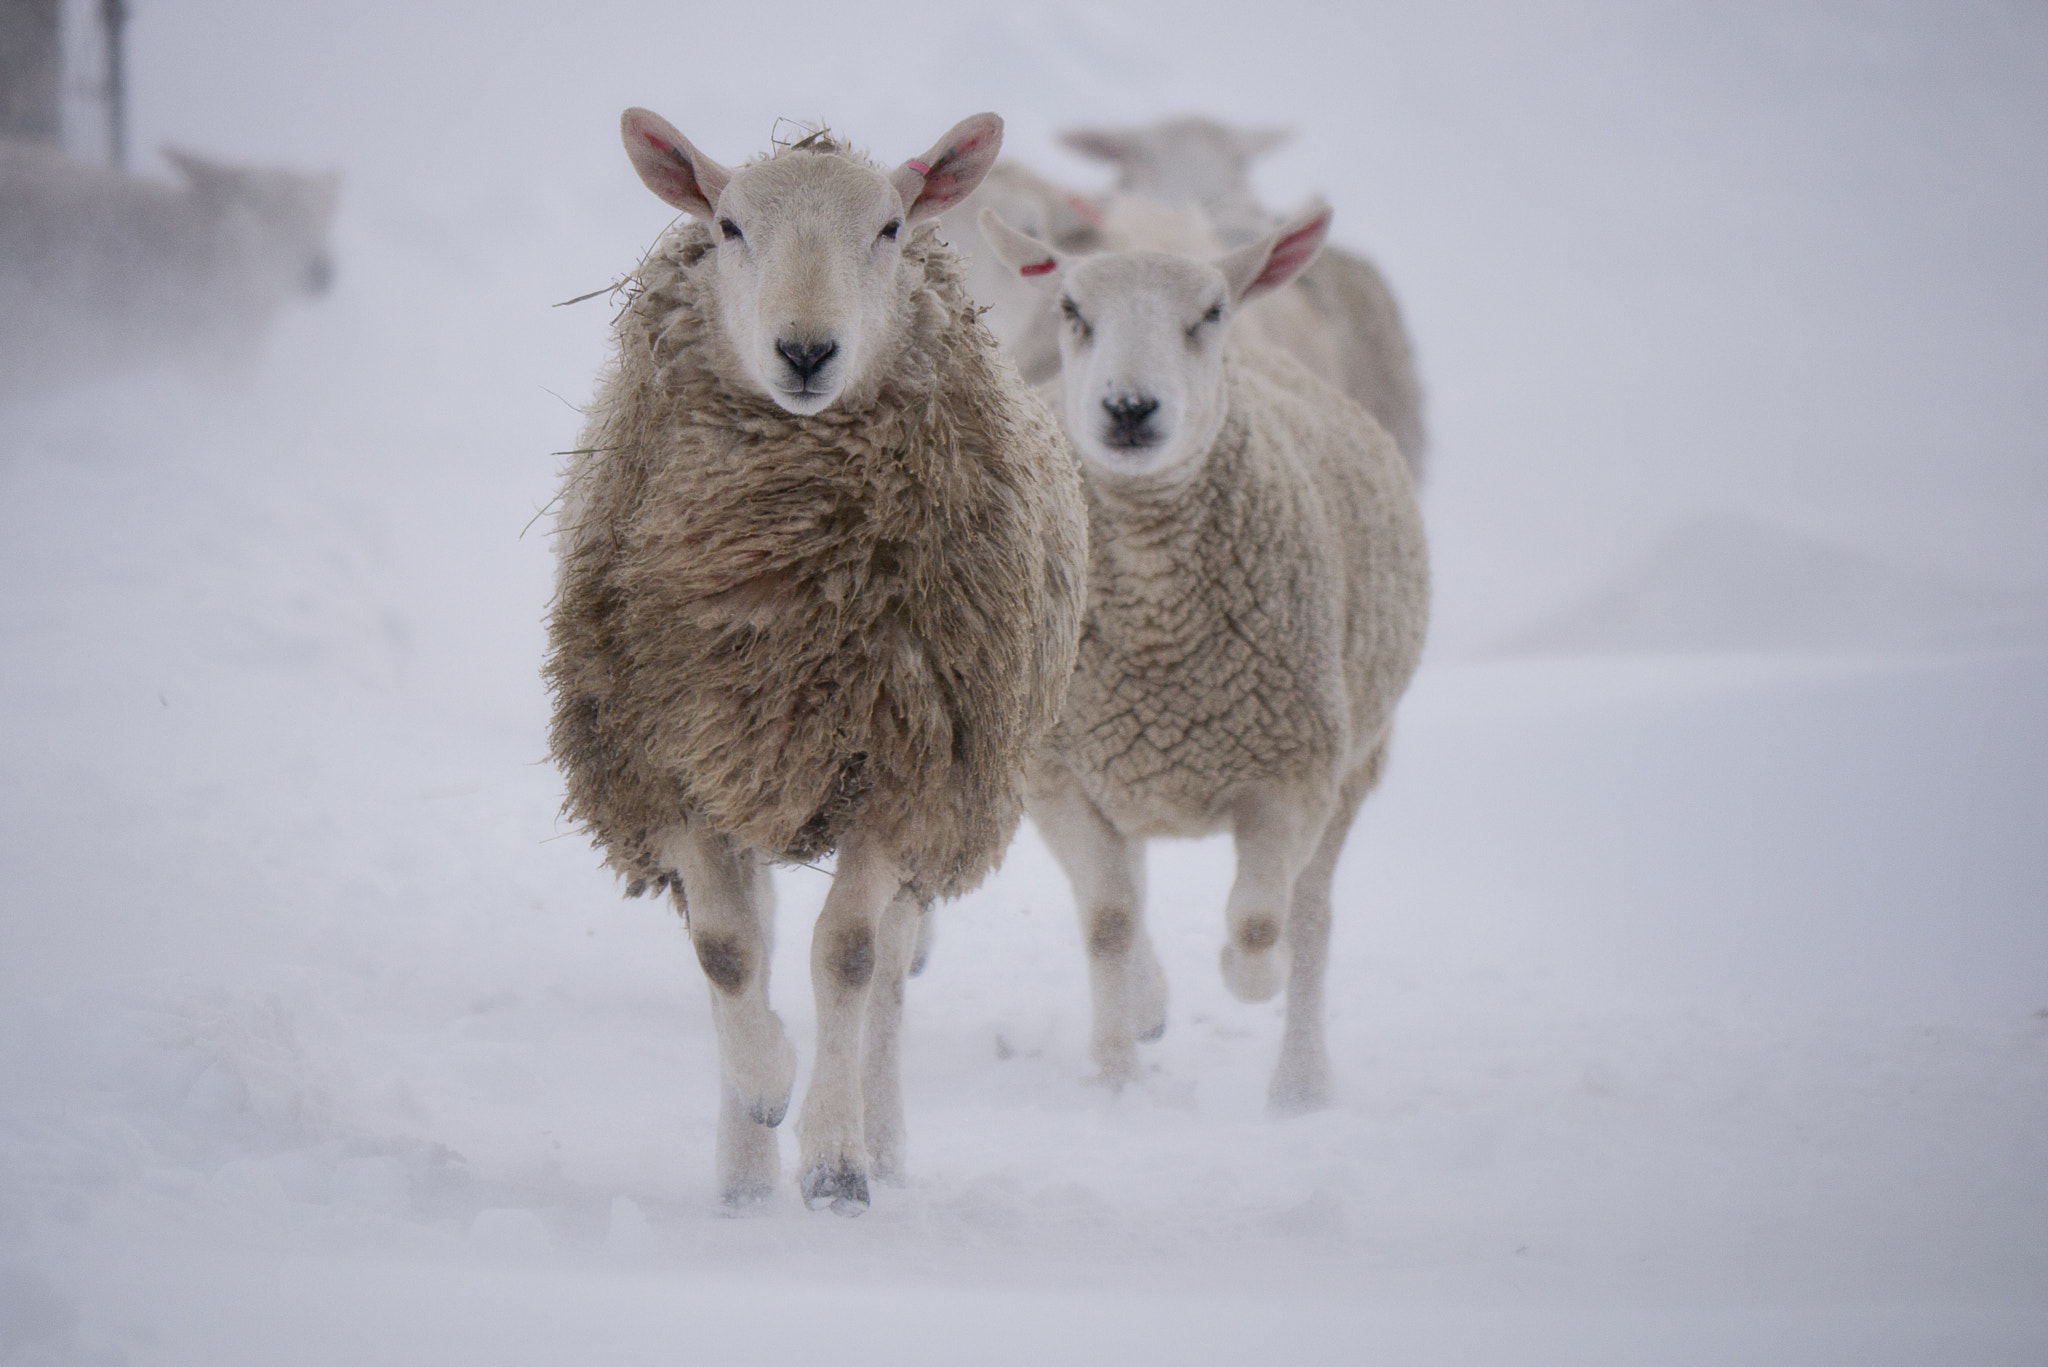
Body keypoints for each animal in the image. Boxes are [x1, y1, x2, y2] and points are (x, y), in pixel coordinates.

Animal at [544, 112, 1089, 1213]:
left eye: (888, 226)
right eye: (728, 226)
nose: (805, 350)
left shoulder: (898, 762)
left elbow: (846, 953)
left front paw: (836, 1156)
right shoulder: (670, 758)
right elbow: (725, 949)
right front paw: (762, 1096)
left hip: (946, 794)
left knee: (887, 960)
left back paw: (879, 1140)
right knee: (753, 928)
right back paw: (747, 1163)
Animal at [983, 202, 1433, 1114]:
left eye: (1212, 311)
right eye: (1071, 310)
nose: (1129, 407)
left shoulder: (1294, 772)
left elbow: (1261, 922)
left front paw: (1248, 974)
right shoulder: (1060, 774)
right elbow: (1108, 918)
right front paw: (1117, 1075)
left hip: (1352, 764)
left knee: (1311, 913)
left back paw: (1300, 1082)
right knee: (1128, 895)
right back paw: (1151, 1002)